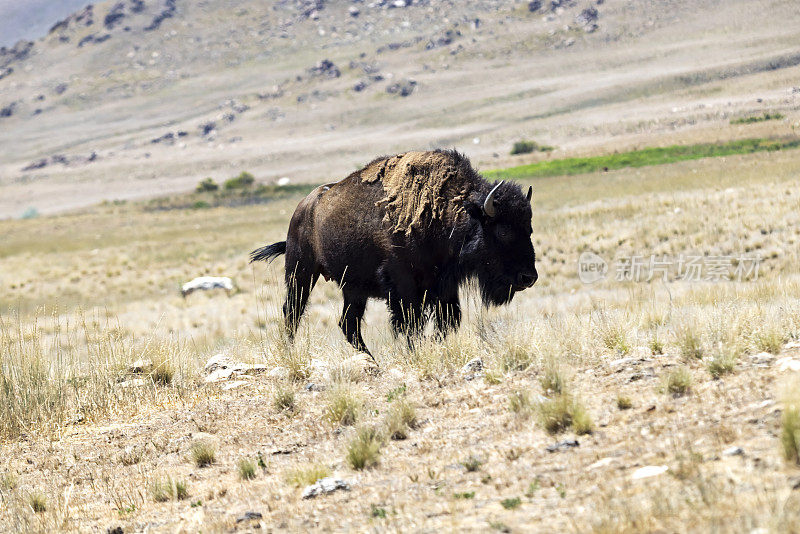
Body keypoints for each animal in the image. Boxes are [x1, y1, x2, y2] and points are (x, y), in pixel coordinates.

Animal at [252, 151, 536, 358]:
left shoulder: (444, 285)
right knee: (293, 311)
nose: (529, 278)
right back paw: (291, 352)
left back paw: (371, 360)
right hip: (301, 273)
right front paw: (418, 350)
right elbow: (411, 323)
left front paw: (432, 346)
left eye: (529, 228)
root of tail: (303, 208)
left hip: (353, 287)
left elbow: (448, 320)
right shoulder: (403, 285)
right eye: (502, 231)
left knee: (348, 323)